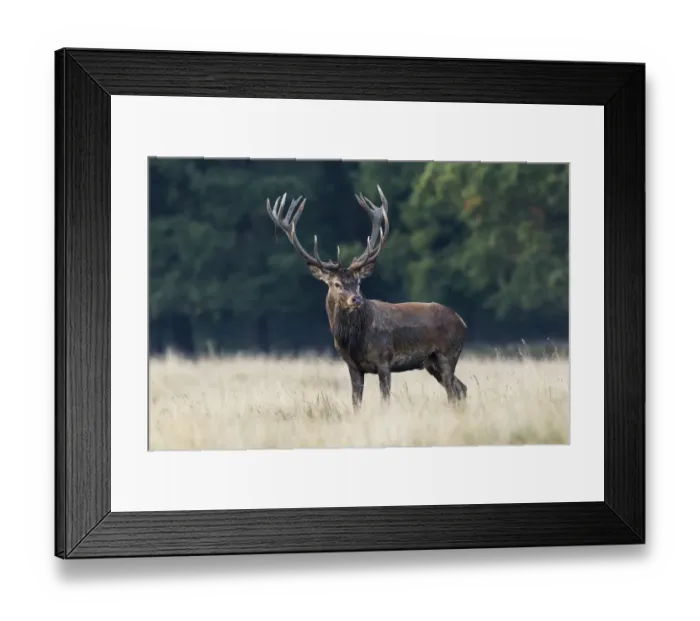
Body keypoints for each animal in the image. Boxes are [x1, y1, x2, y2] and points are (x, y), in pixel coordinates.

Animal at [265, 186, 468, 409]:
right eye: (337, 284)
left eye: (358, 282)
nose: (356, 299)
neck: (353, 341)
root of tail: (462, 321)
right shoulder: (353, 366)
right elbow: (356, 402)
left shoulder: (384, 359)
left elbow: (385, 400)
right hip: (431, 362)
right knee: (461, 388)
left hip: (448, 354)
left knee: (453, 390)